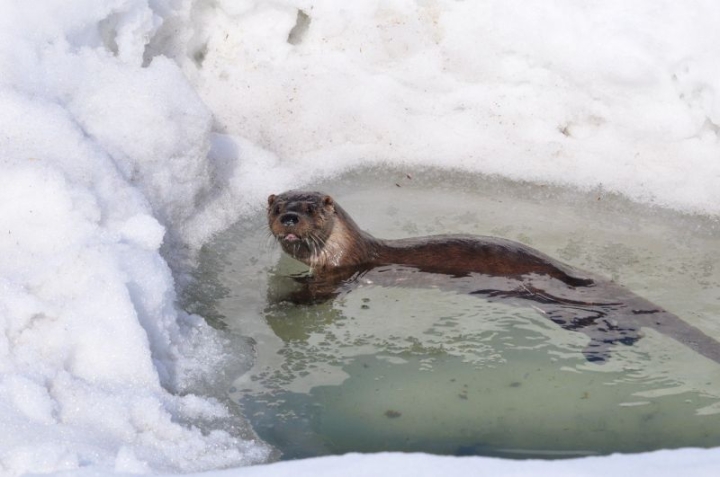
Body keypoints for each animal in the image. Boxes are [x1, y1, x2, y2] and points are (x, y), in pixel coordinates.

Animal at [268, 188, 720, 362]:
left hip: (560, 307)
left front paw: (284, 299)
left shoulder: (343, 274)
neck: (348, 249)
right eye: (276, 207)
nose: (289, 217)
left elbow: (313, 295)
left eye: (310, 208)